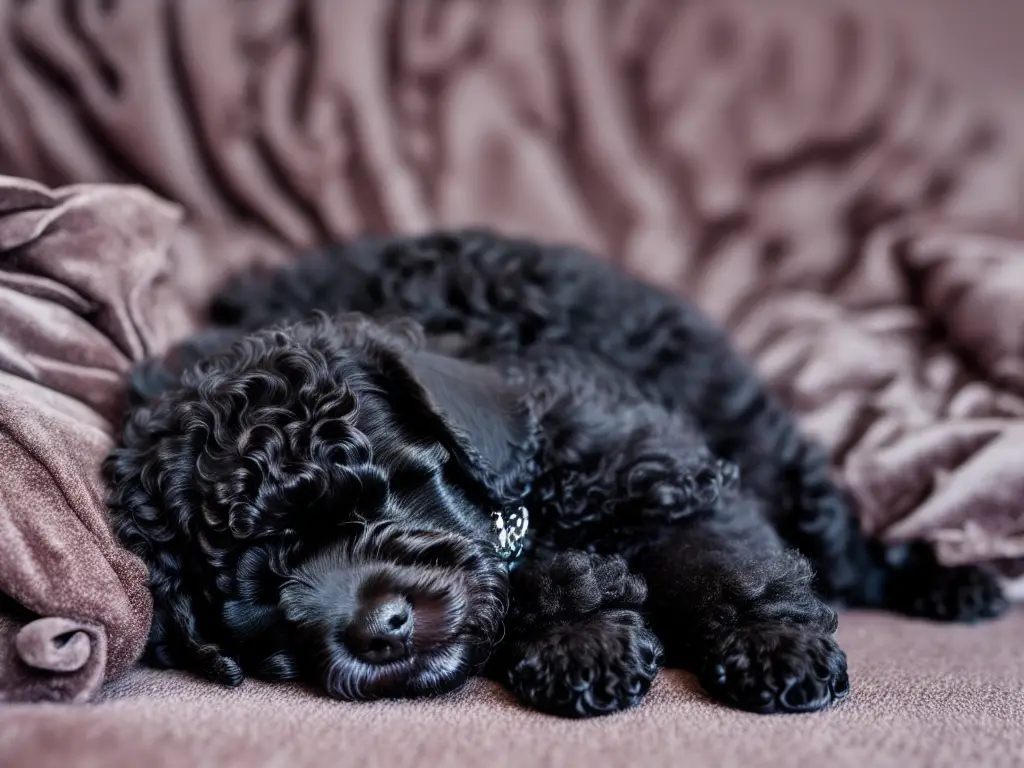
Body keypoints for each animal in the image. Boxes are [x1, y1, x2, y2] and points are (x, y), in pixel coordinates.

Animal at [105, 231, 1007, 720]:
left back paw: (951, 583)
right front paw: (584, 640)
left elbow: (725, 564)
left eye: (387, 489)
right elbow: (538, 575)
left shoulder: (657, 467)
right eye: (264, 591)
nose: (379, 629)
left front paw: (772, 645)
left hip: (780, 466)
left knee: (849, 550)